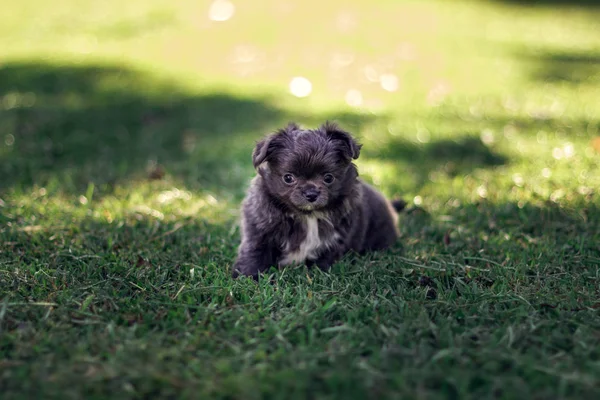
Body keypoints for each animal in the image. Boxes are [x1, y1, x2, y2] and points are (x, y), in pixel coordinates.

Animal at [232, 120, 406, 280]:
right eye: (288, 178)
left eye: (328, 178)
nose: (311, 194)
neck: (307, 215)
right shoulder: (258, 229)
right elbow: (254, 252)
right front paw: (246, 277)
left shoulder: (335, 240)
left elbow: (324, 261)